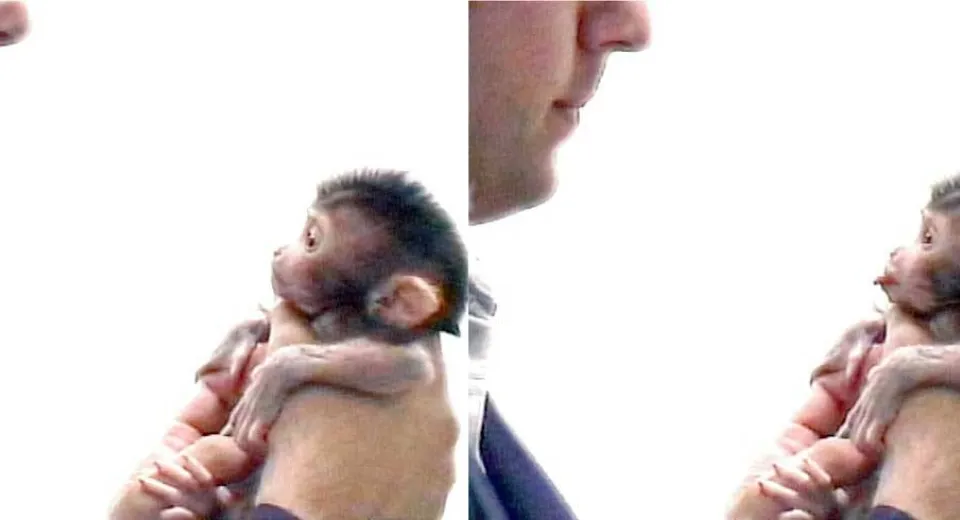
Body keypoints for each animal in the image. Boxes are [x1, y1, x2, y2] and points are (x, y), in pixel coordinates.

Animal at [132, 169, 469, 520]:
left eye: (310, 239)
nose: (278, 251)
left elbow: (411, 366)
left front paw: (274, 375)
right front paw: (238, 340)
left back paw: (196, 495)